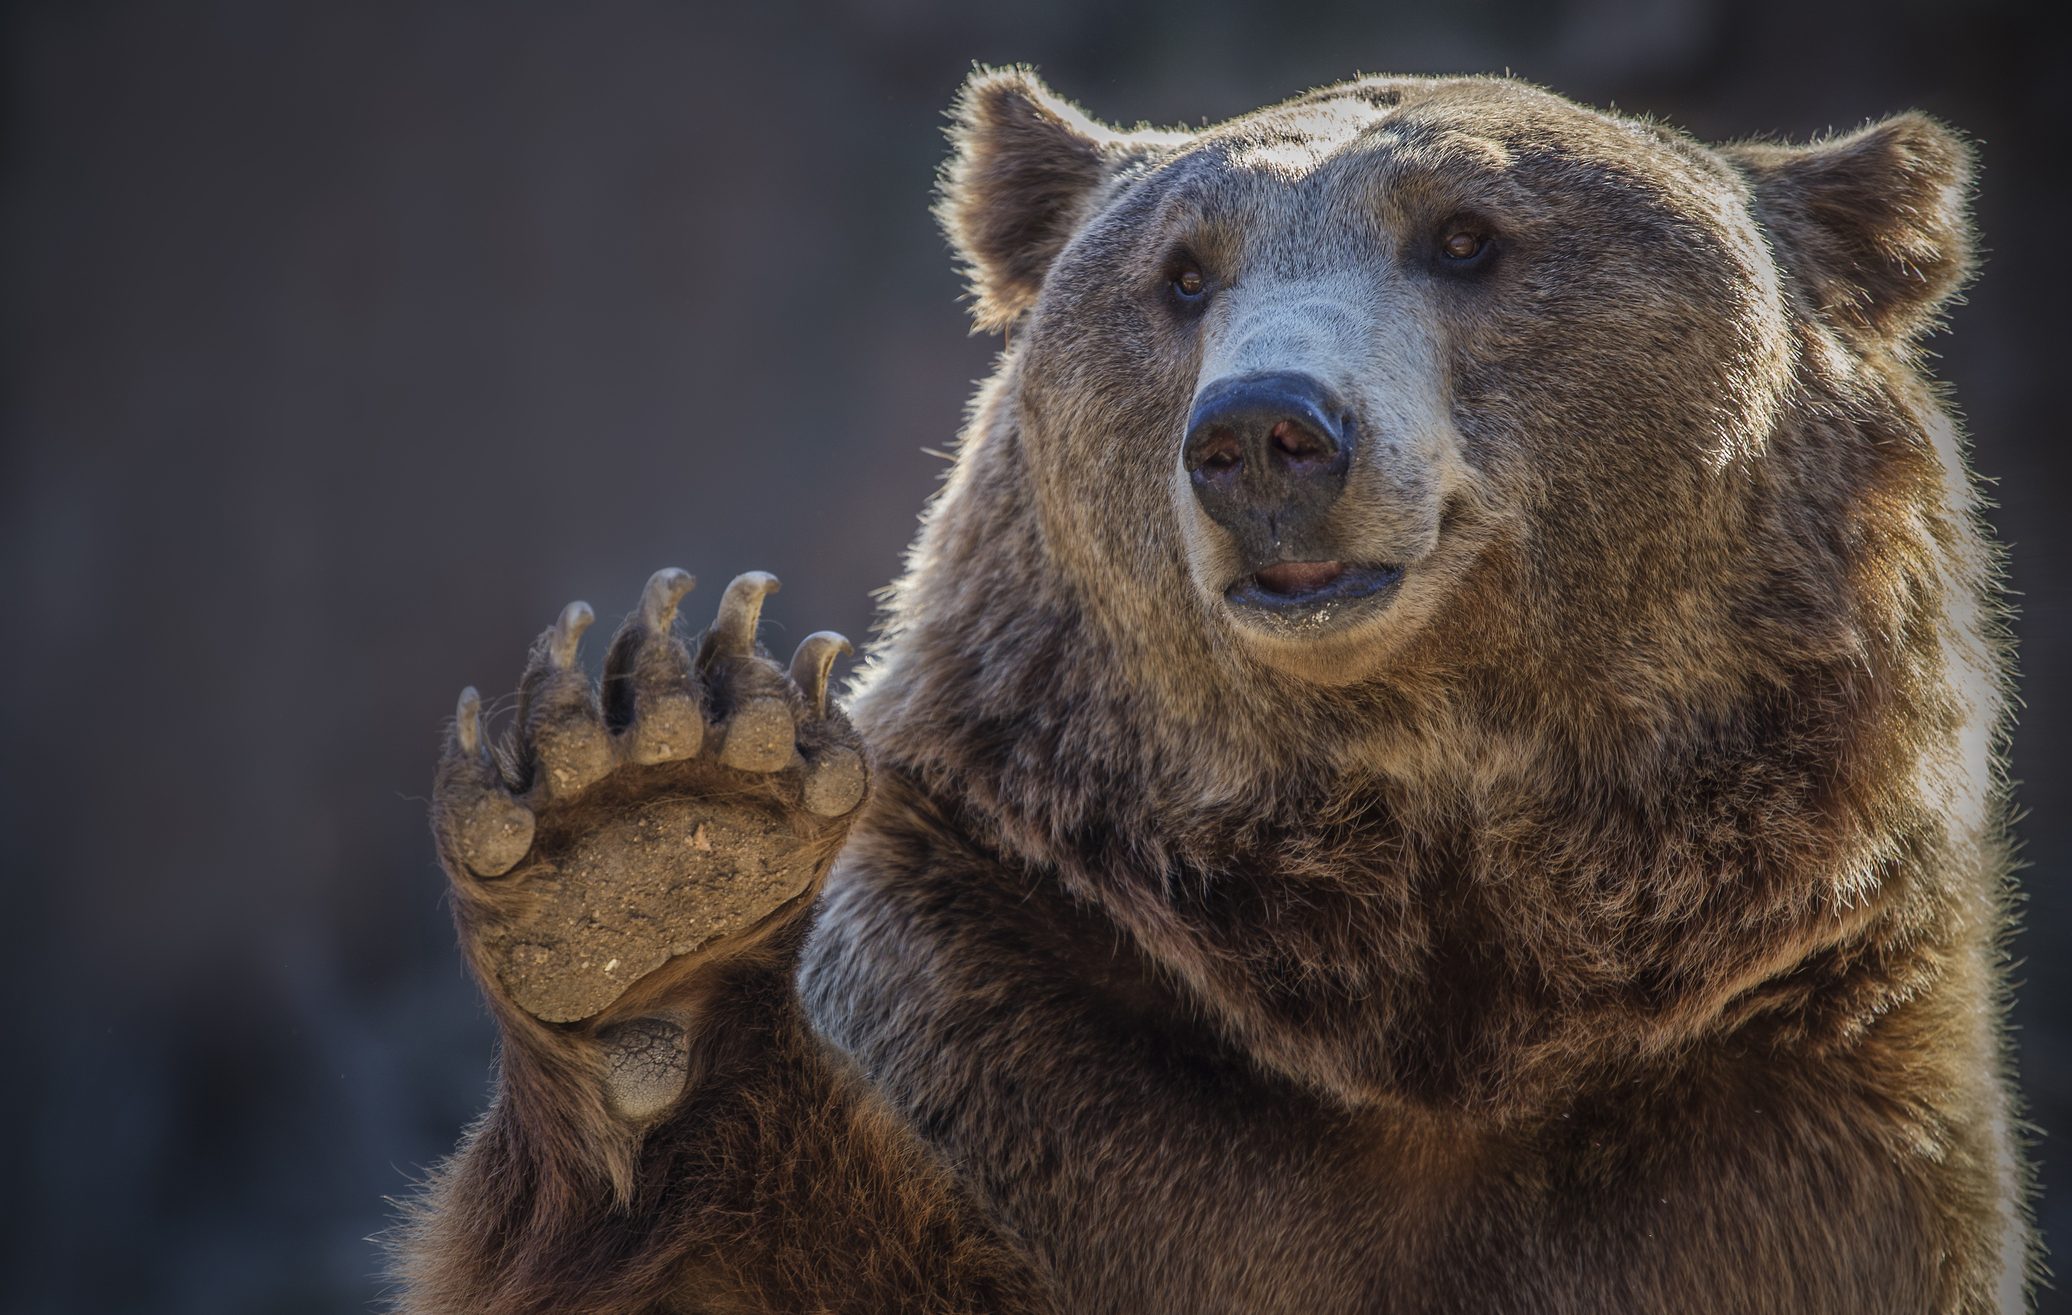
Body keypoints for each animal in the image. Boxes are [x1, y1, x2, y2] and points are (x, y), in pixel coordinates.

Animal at [392, 69, 2032, 1314]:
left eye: (1467, 236)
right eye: (1181, 271)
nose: (1262, 432)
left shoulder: (1780, 1107)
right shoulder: (1026, 1017)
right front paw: (649, 856)